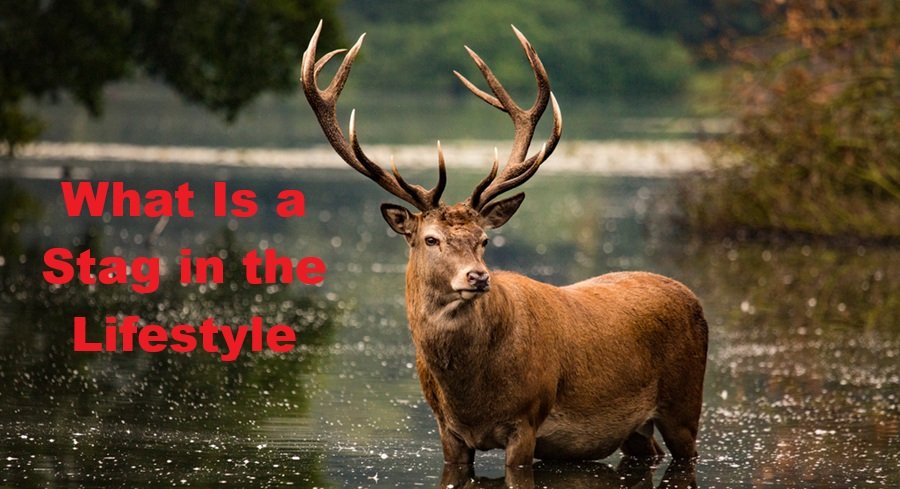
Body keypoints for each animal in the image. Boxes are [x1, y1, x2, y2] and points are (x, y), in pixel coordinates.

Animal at [300, 21, 708, 468]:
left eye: (484, 240)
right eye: (430, 239)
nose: (478, 277)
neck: (469, 397)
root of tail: (692, 297)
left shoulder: (526, 420)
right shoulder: (447, 432)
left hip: (685, 402)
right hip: (636, 430)